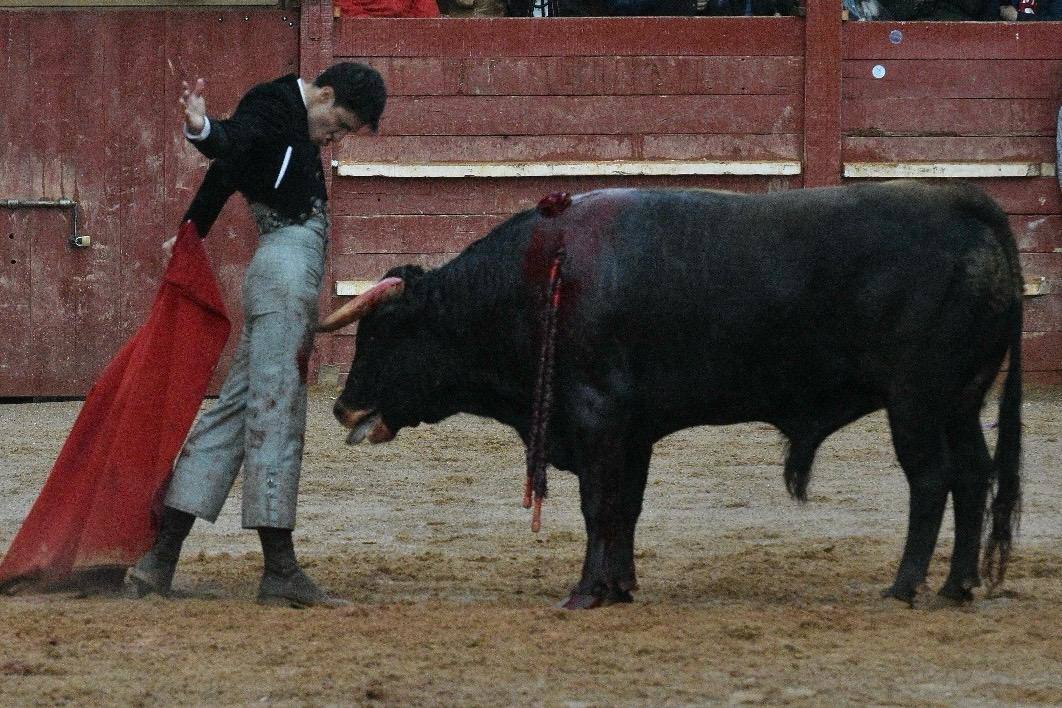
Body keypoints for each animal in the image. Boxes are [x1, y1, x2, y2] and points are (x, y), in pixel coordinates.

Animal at [322, 182, 1019, 611]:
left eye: (382, 332)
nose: (342, 407)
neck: (537, 280)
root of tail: (962, 203)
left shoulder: (596, 417)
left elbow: (598, 506)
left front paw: (586, 592)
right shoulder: (632, 430)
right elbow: (625, 508)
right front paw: (620, 585)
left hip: (916, 401)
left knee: (931, 479)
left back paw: (904, 586)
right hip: (961, 402)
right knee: (973, 475)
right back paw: (957, 586)